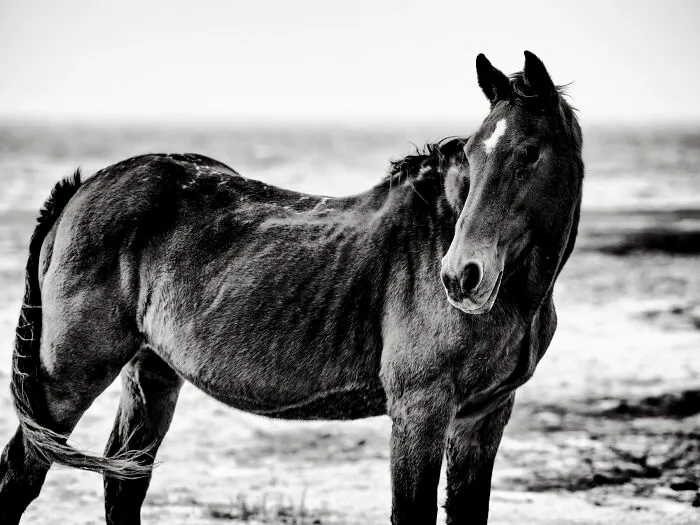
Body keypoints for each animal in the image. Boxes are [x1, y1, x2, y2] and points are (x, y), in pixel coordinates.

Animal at [0, 51, 583, 524]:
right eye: (474, 154)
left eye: (529, 152)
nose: (461, 276)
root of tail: (83, 189)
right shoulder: (421, 411)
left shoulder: (482, 418)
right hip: (66, 379)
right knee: (20, 476)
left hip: (152, 373)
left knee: (122, 484)